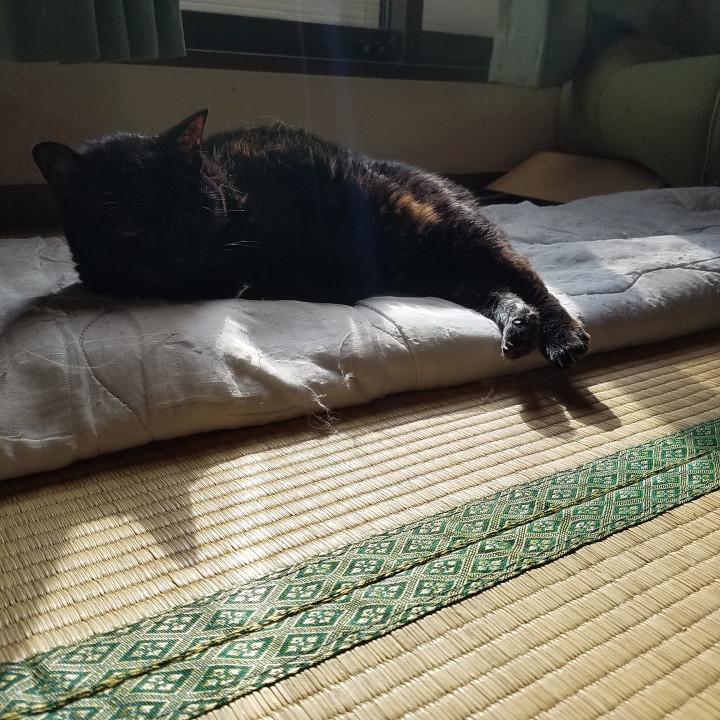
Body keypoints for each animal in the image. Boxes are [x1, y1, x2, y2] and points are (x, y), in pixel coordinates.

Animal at [32, 109, 589, 367]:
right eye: (124, 222)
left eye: (187, 206)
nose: (176, 249)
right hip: (439, 270)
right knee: (497, 291)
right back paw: (520, 327)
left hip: (450, 230)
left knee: (531, 280)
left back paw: (562, 336)